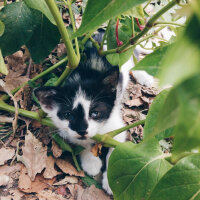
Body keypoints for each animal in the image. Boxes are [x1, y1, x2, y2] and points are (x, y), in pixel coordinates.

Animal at [34, 44, 128, 194]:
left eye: (95, 113)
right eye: (68, 115)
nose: (82, 130)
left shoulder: (115, 124)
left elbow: (116, 147)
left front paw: (113, 182)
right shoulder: (65, 130)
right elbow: (79, 142)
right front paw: (91, 162)